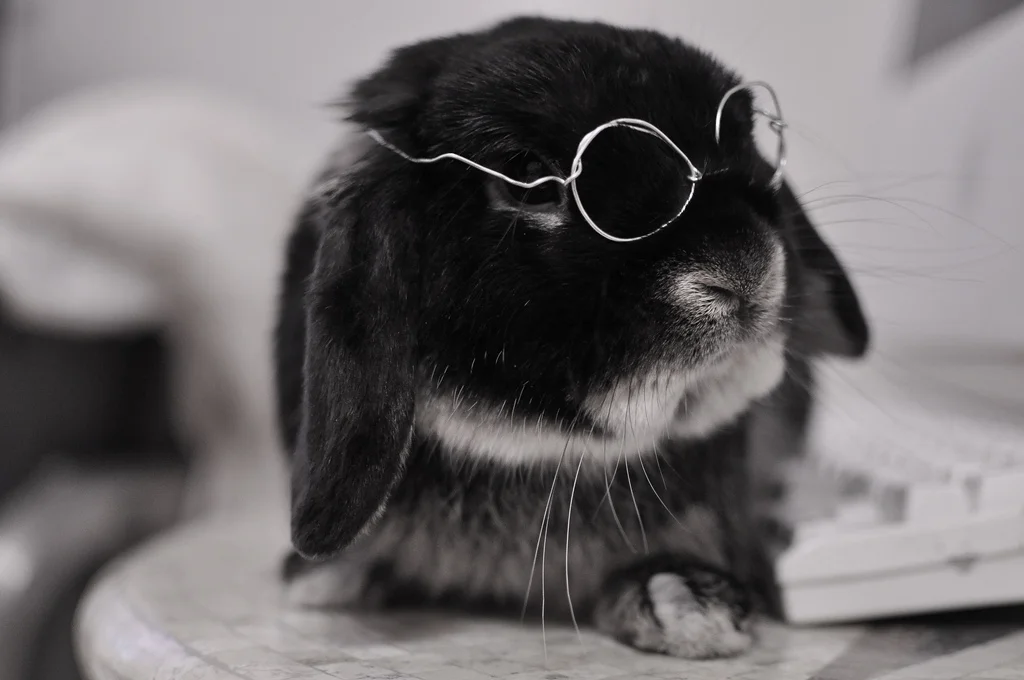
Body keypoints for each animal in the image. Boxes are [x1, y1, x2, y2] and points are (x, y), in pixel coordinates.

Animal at [274, 16, 869, 660]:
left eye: (748, 141)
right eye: (529, 184)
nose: (743, 269)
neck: (537, 447)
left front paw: (687, 601)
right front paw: (322, 580)